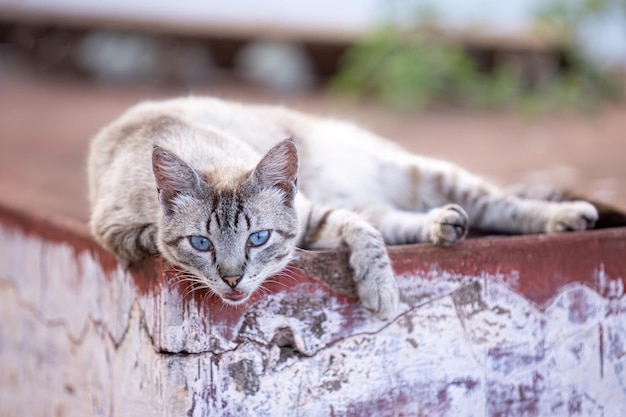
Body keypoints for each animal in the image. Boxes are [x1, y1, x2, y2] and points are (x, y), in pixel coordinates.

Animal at [86, 96, 596, 318]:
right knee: (404, 219)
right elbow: (368, 231)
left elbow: (365, 237)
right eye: (201, 244)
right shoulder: (117, 232)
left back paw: (568, 214)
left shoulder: (313, 215)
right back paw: (445, 224)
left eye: (258, 238)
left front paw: (381, 292)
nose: (232, 280)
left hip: (425, 173)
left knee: (498, 201)